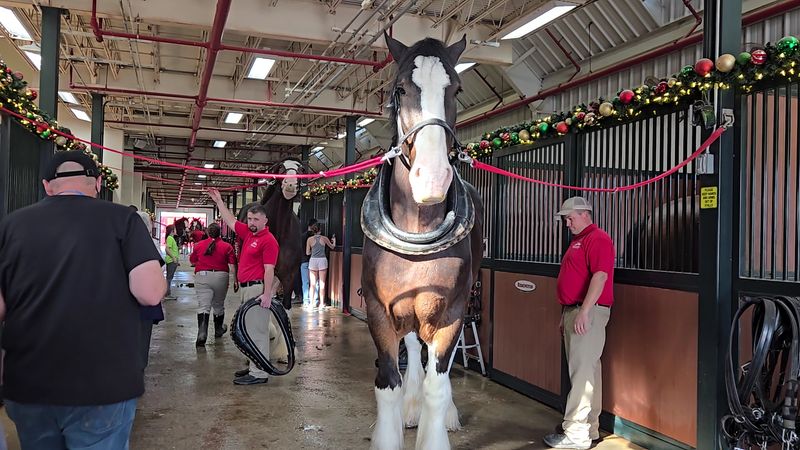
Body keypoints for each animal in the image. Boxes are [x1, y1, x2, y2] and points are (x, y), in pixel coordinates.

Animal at [360, 33, 483, 450]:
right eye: (400, 89)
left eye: (456, 89)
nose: (432, 179)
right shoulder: (379, 310)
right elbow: (388, 384)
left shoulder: (453, 312)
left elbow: (438, 384)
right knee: (413, 348)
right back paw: (410, 411)